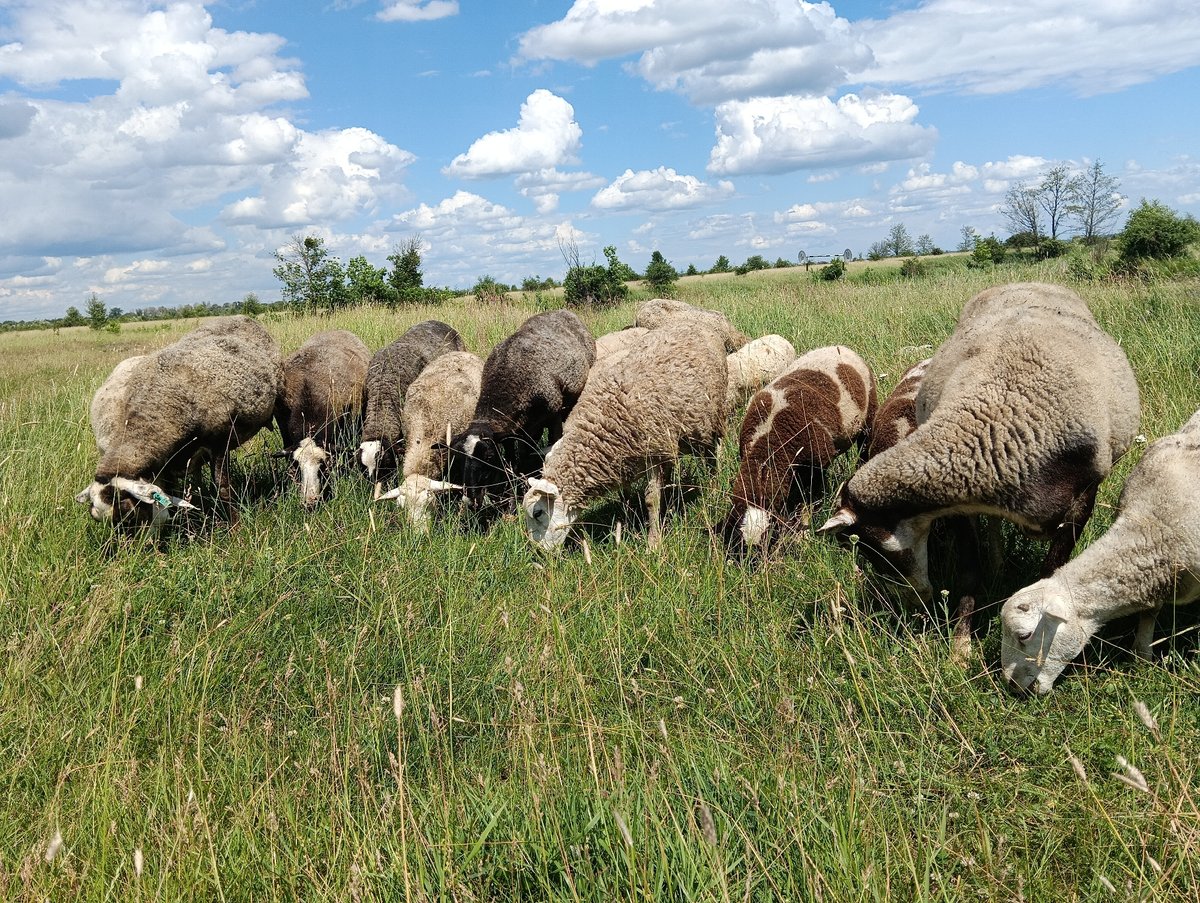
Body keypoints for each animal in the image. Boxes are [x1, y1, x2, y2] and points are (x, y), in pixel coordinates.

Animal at [75, 315, 281, 531]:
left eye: (130, 514)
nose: (141, 543)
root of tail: (239, 317)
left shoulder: (219, 442)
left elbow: (223, 487)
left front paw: (235, 528)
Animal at [447, 309, 595, 511]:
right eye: (458, 460)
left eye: (489, 456)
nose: (470, 501)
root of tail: (562, 311)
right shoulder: (509, 433)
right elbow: (513, 461)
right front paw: (513, 494)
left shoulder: (554, 416)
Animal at [523, 320, 728, 550]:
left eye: (538, 513)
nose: (538, 552)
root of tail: (693, 324)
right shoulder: (624, 460)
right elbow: (625, 494)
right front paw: (627, 519)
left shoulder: (654, 454)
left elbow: (651, 499)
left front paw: (653, 542)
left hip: (715, 417)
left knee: (714, 451)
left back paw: (714, 484)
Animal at [724, 345, 876, 551]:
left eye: (769, 538)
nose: (753, 559)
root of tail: (839, 347)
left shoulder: (816, 467)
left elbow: (808, 501)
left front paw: (803, 532)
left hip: (867, 419)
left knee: (863, 449)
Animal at [818, 282, 1141, 604]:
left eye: (872, 549)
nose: (913, 601)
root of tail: (1021, 282)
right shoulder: (962, 505)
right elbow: (970, 572)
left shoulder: (1084, 498)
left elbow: (1051, 571)